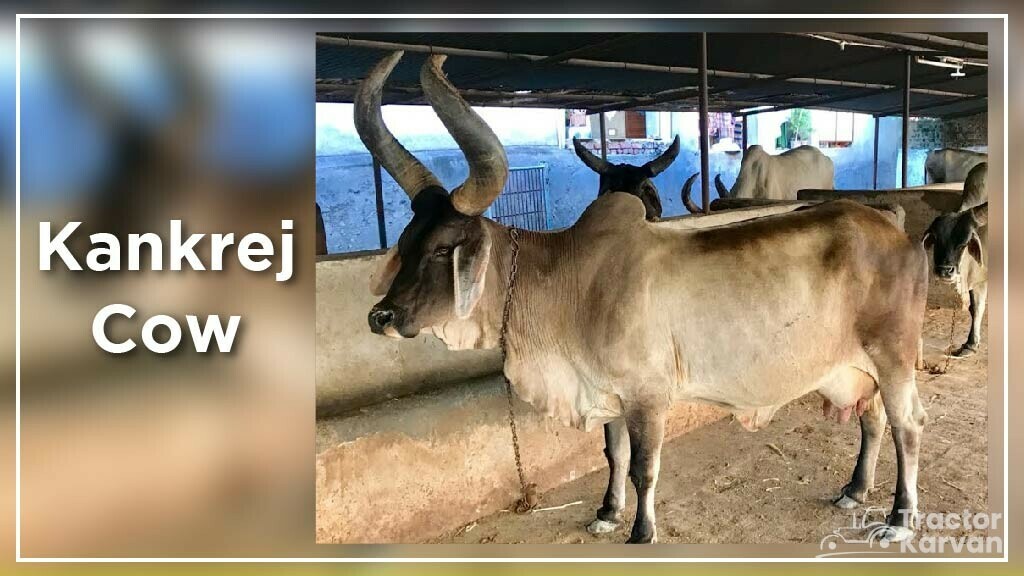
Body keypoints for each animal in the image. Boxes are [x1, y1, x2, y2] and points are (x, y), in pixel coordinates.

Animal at [924, 202, 988, 358]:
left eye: (964, 243)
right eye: (935, 238)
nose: (944, 271)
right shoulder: (977, 280)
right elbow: (974, 308)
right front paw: (971, 344)